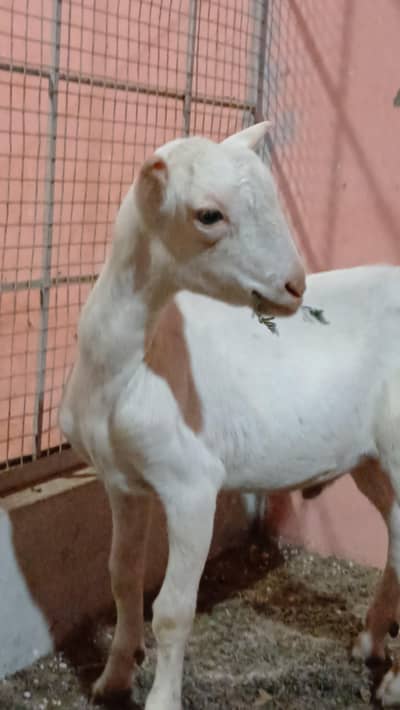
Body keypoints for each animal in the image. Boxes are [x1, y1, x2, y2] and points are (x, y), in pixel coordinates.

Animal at [60, 122, 400, 708]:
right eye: (208, 215)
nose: (295, 285)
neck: (133, 363)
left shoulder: (192, 484)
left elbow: (172, 611)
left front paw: (160, 698)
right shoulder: (123, 482)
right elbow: (122, 578)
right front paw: (112, 678)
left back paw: (394, 681)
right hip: (371, 461)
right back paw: (371, 642)